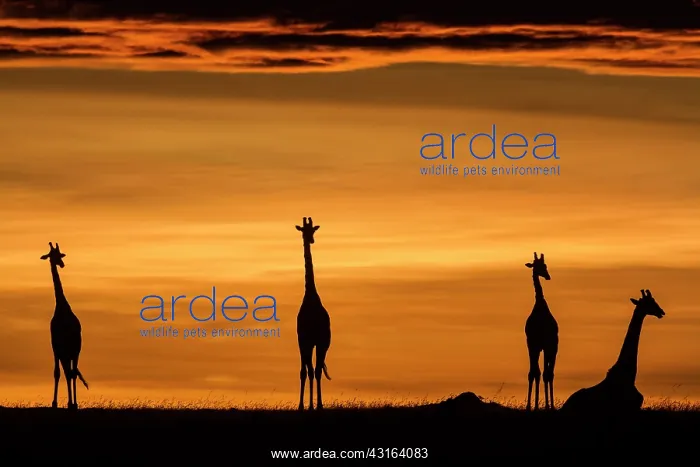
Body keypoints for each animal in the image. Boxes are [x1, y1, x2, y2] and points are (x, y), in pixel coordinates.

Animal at [41, 242, 88, 410]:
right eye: (52, 255)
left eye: (59, 254)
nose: (61, 264)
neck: (61, 308)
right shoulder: (55, 346)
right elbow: (57, 373)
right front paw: (54, 403)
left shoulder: (71, 348)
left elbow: (71, 373)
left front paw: (72, 403)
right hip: (65, 352)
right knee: (68, 372)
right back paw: (69, 402)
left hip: (74, 350)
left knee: (72, 372)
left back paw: (73, 403)